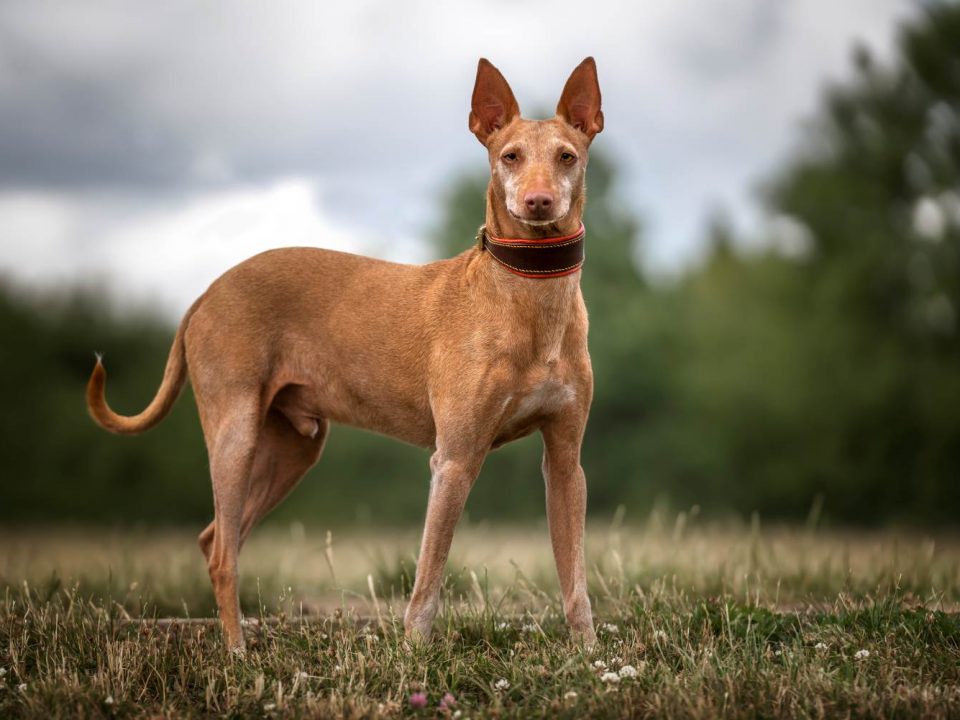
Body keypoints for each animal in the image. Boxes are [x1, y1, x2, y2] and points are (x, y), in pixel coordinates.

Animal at [88, 57, 600, 652]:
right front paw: (414, 656)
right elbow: (427, 581)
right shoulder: (453, 459)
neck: (528, 297)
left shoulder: (565, 463)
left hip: (291, 450)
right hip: (234, 434)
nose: (538, 201)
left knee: (216, 538)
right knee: (222, 554)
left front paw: (588, 656)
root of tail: (207, 292)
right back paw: (237, 654)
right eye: (509, 156)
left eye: (567, 156)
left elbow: (575, 581)